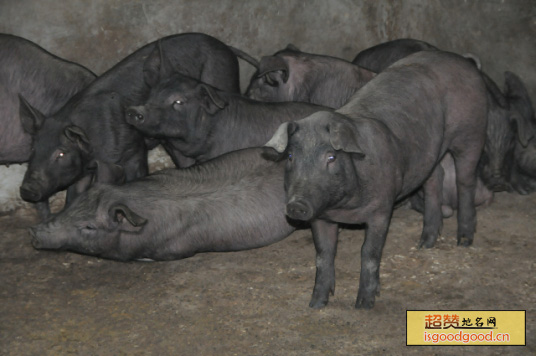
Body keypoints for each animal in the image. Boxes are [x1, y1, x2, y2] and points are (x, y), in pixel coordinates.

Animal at [264, 50, 490, 308]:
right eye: (291, 156)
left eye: (331, 157)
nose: (296, 205)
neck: (344, 209)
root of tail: (463, 60)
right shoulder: (320, 216)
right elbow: (323, 254)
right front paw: (317, 304)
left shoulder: (382, 208)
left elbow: (370, 252)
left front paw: (364, 303)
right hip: (431, 150)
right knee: (435, 179)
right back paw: (424, 244)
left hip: (471, 131)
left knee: (465, 180)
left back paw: (464, 241)